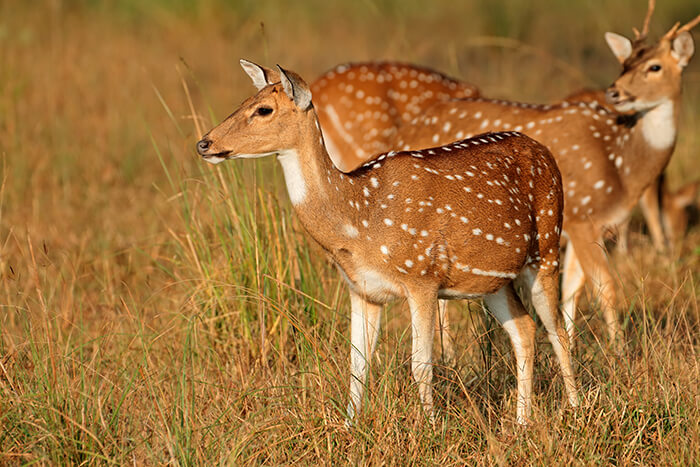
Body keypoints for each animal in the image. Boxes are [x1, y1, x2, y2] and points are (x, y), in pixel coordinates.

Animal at [197, 60, 580, 426]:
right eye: (243, 101)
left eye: (263, 109)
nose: (204, 143)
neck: (359, 221)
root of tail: (546, 153)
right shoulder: (362, 290)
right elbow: (357, 365)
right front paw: (349, 427)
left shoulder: (423, 276)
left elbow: (421, 365)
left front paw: (431, 429)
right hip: (491, 281)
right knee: (524, 328)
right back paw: (521, 421)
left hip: (546, 249)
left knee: (558, 331)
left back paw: (575, 412)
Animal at [314, 1, 700, 350]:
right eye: (625, 63)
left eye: (654, 66)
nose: (615, 91)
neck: (622, 167)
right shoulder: (582, 218)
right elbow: (605, 286)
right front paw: (617, 353)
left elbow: (573, 289)